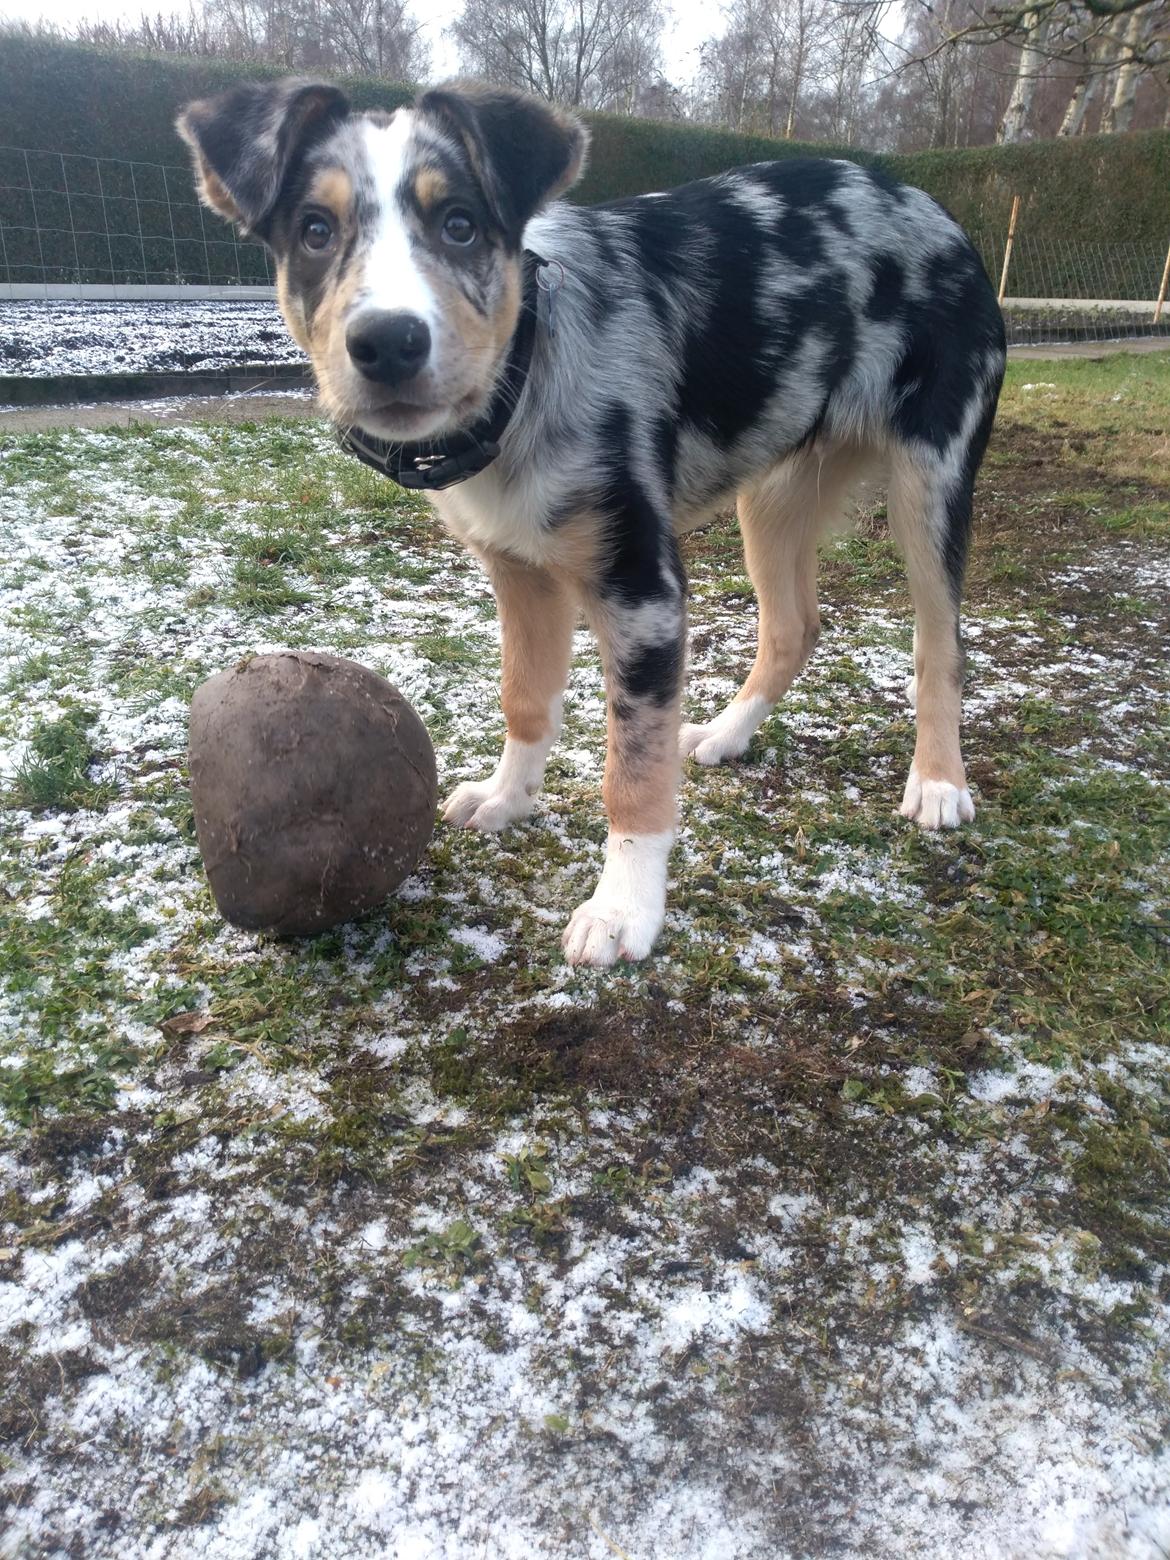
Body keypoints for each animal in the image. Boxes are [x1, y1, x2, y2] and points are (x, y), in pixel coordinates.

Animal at [178, 85, 1010, 967]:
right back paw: (726, 733)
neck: (527, 370)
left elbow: (633, 769)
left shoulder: (642, 593)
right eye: (315, 230)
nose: (389, 342)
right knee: (794, 628)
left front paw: (624, 909)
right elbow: (526, 697)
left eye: (461, 224)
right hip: (775, 493)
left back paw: (938, 783)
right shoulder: (518, 568)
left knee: (940, 644)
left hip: (931, 477)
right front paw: (509, 797)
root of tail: (927, 204)